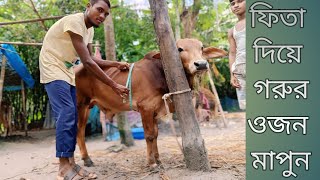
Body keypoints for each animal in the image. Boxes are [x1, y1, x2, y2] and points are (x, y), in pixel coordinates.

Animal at [75, 39, 228, 167]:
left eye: (201, 47)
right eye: (179, 49)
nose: (201, 64)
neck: (160, 73)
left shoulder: (155, 110)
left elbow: (155, 135)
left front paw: (158, 159)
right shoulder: (145, 108)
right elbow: (148, 135)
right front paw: (151, 162)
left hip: (87, 106)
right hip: (80, 105)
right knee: (79, 132)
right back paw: (85, 160)